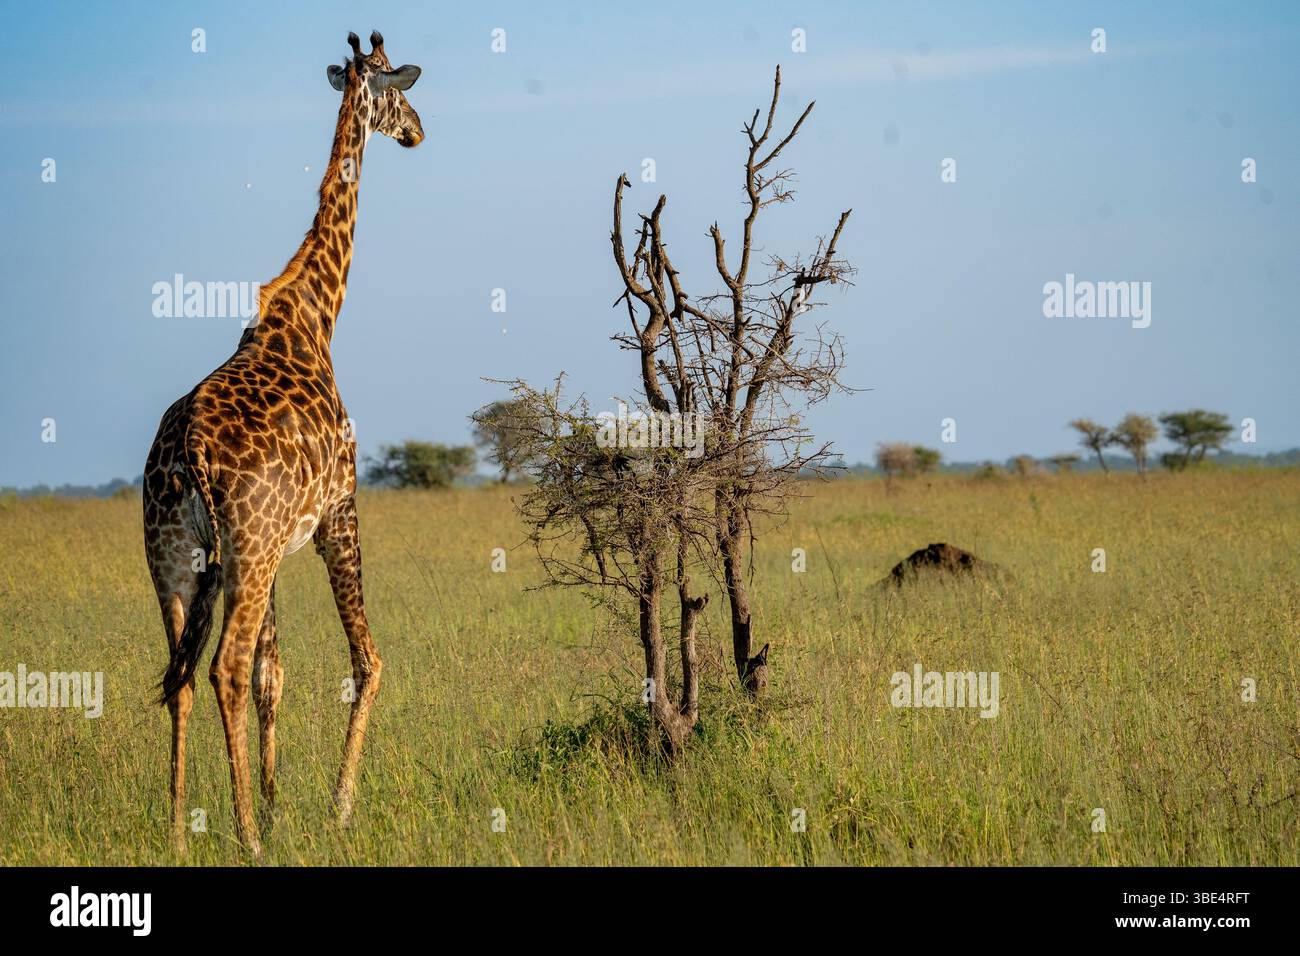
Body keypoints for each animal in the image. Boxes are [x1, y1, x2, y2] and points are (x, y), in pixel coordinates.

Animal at [143, 31, 424, 856]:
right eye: (400, 90)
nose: (417, 132)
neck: (314, 313)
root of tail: (188, 454)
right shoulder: (338, 514)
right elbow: (366, 661)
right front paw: (334, 808)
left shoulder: (270, 551)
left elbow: (277, 677)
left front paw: (273, 803)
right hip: (247, 547)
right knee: (223, 669)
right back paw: (245, 838)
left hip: (179, 557)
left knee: (183, 677)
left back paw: (178, 831)